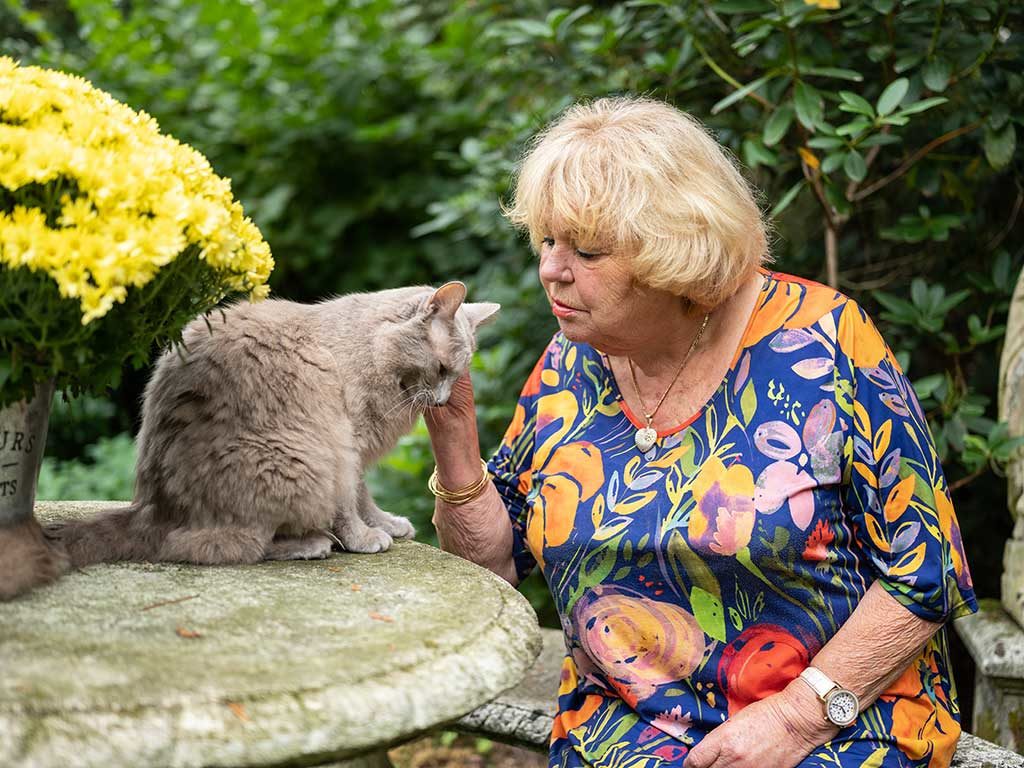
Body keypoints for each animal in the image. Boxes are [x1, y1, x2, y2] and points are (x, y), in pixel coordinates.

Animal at [49, 280, 497, 565]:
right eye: (441, 369)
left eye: (457, 375)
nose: (442, 400)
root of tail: (152, 510)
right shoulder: (345, 444)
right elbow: (349, 502)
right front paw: (365, 537)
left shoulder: (357, 452)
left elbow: (365, 498)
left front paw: (386, 523)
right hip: (302, 459)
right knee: (222, 547)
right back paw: (312, 543)